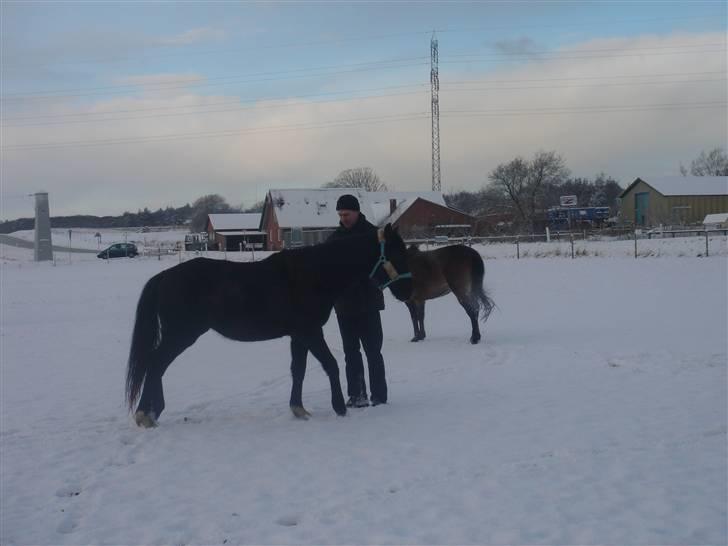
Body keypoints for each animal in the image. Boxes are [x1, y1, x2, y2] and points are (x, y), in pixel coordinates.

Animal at [124, 222, 410, 424]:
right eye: (398, 253)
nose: (407, 290)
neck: (314, 274)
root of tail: (164, 276)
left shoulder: (299, 335)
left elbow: (298, 370)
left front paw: (299, 409)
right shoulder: (310, 332)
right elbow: (330, 365)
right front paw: (339, 407)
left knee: (157, 366)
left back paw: (153, 411)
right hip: (181, 334)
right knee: (156, 364)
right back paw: (145, 415)